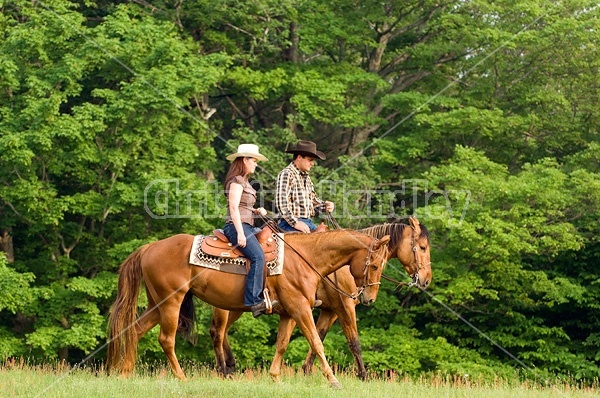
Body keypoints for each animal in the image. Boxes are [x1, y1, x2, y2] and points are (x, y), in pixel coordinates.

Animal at [106, 229, 392, 388]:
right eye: (375, 265)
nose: (369, 298)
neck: (306, 257)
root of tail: (150, 247)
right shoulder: (302, 308)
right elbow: (317, 342)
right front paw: (333, 380)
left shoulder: (289, 312)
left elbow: (282, 344)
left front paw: (275, 377)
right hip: (171, 303)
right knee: (167, 339)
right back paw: (182, 377)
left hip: (157, 304)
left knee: (135, 331)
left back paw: (125, 373)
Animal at [211, 218, 432, 380]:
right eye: (422, 247)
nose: (426, 279)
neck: (344, 263)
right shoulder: (344, 306)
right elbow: (354, 342)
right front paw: (363, 375)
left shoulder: (329, 310)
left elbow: (318, 335)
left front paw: (307, 370)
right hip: (224, 305)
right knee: (218, 332)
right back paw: (223, 370)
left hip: (237, 306)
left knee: (224, 331)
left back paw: (231, 366)